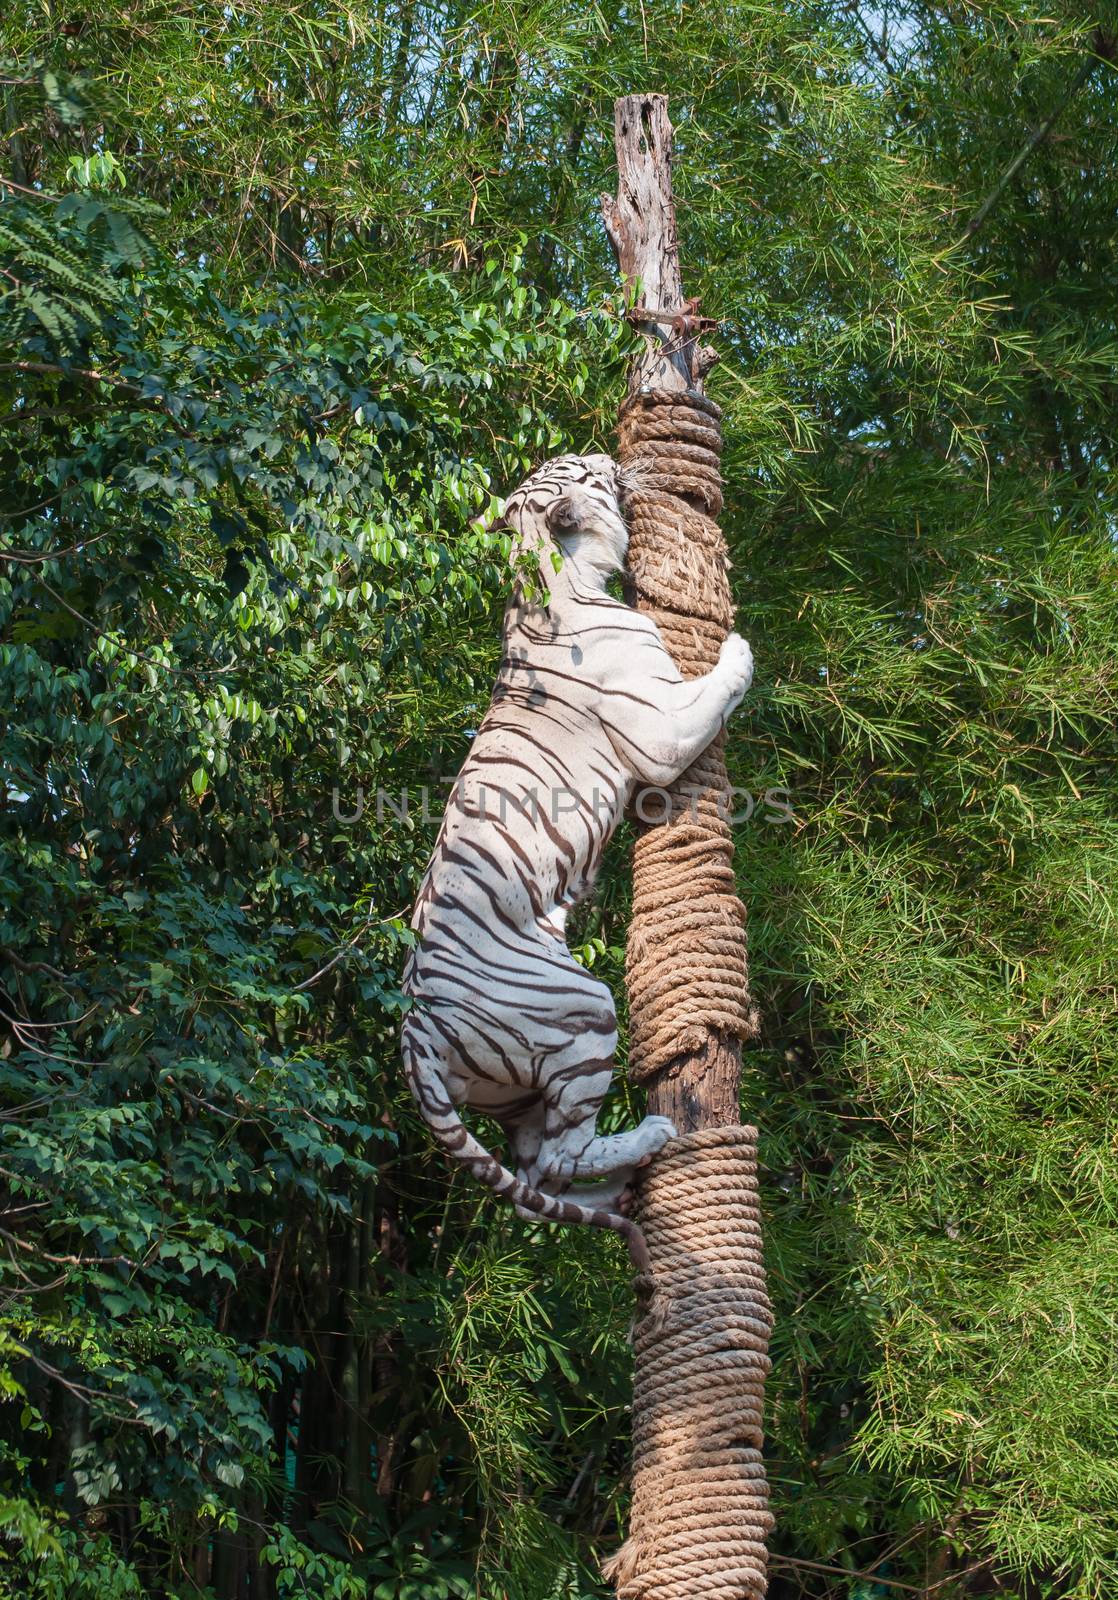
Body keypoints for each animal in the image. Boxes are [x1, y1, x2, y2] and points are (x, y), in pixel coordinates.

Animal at [399, 451, 751, 1260]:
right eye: (584, 472)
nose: (607, 455)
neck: (544, 576)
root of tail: (415, 1040)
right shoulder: (662, 730)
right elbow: (722, 682)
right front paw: (739, 644)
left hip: (518, 1089)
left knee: (538, 1177)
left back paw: (623, 1194)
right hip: (583, 1010)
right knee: (559, 1155)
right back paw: (653, 1136)